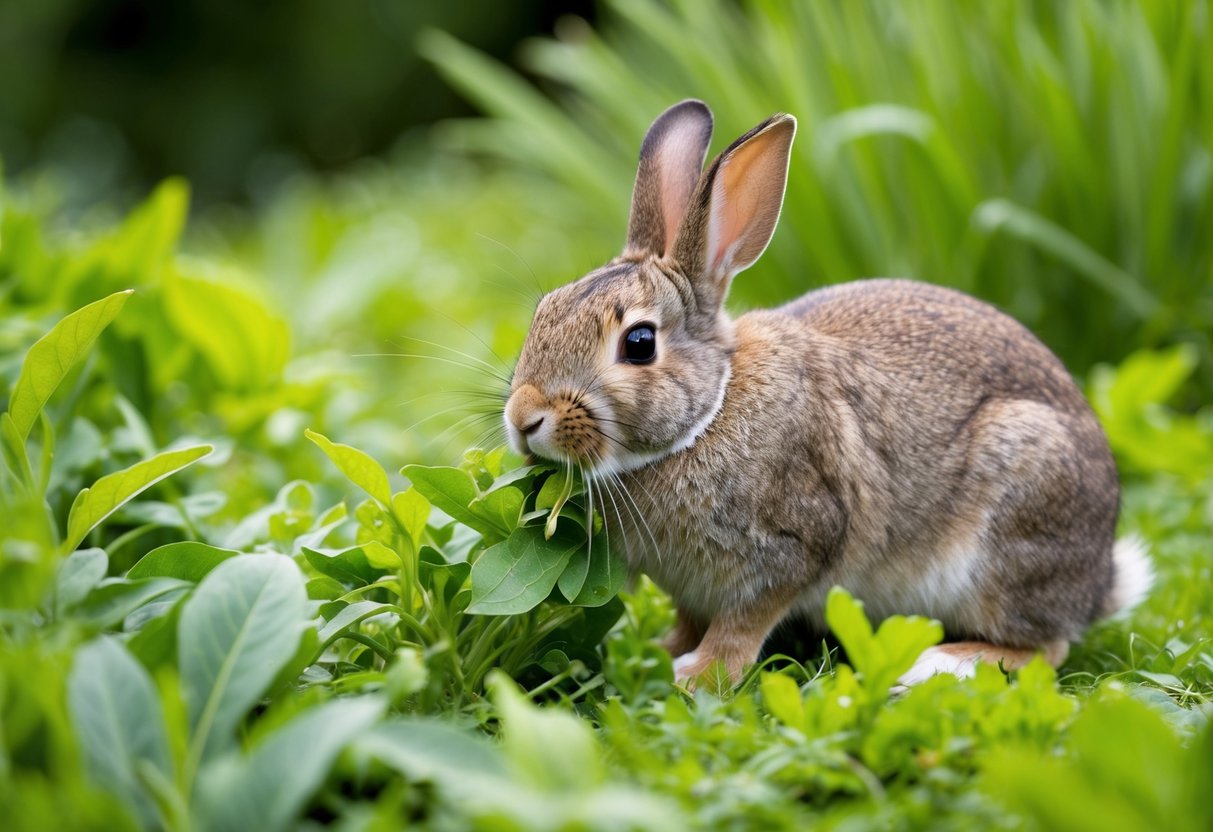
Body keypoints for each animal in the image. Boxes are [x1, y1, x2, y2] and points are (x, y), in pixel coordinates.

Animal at [503, 99, 1153, 687]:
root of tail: (1098, 582)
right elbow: (690, 622)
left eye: (638, 343)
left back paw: (940, 663)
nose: (524, 419)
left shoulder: (794, 546)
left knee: (1045, 647)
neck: (709, 413)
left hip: (1014, 517)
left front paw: (701, 676)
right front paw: (662, 654)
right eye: (543, 309)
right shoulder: (693, 588)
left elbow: (742, 625)